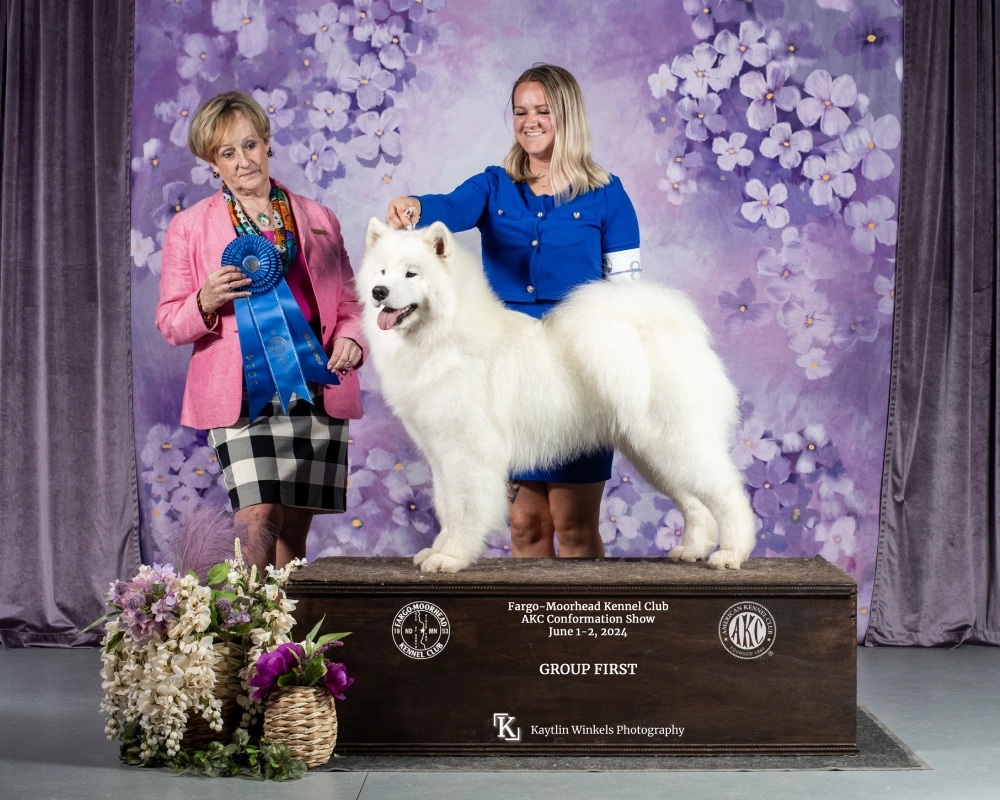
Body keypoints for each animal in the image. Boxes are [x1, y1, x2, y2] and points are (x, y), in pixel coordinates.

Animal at [356, 216, 752, 572]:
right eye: (381, 273)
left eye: (411, 274)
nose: (379, 293)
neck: (442, 335)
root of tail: (676, 334)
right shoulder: (440, 454)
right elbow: (445, 506)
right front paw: (438, 549)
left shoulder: (467, 452)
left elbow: (464, 509)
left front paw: (451, 557)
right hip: (652, 454)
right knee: (695, 504)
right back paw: (691, 549)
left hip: (676, 443)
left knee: (727, 493)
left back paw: (732, 553)